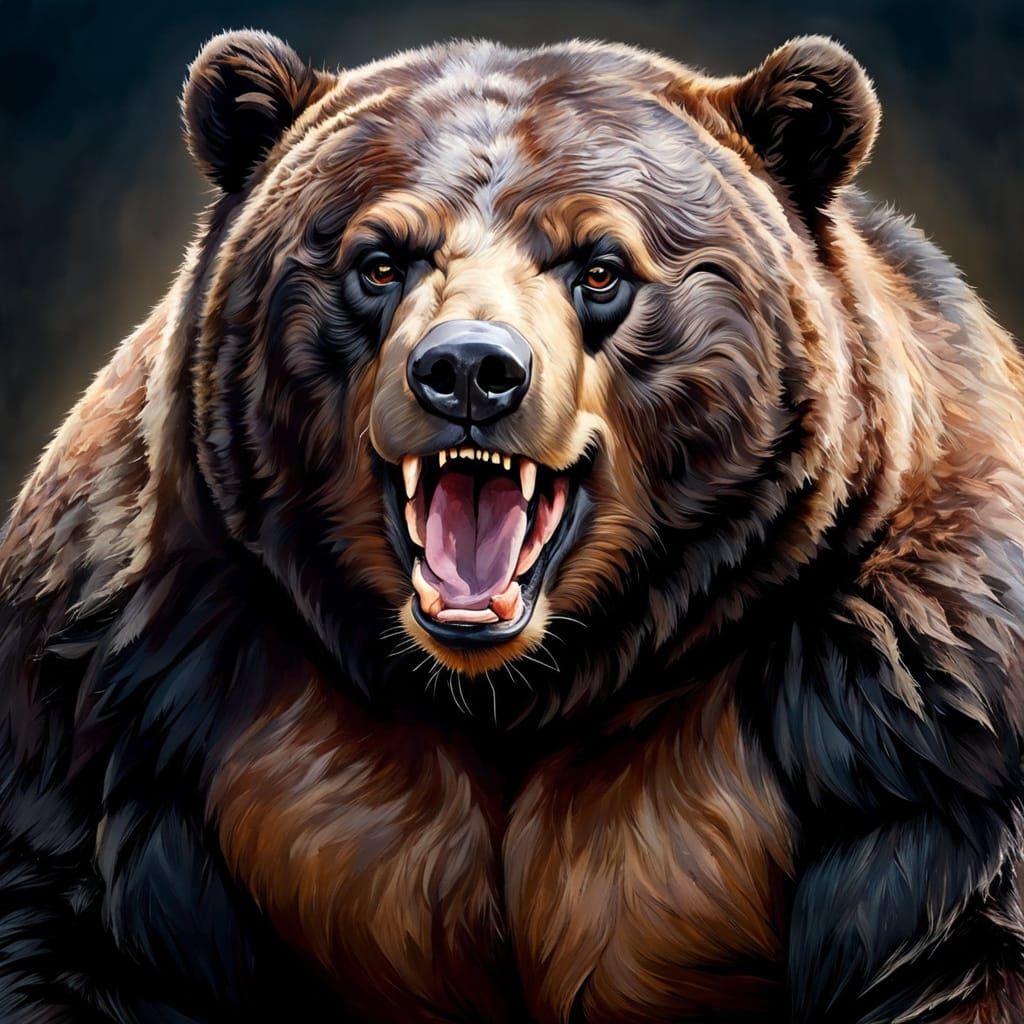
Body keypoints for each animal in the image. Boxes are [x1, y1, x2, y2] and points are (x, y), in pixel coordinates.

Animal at [1, 26, 1023, 1024]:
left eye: (601, 267)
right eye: (379, 260)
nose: (468, 371)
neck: (515, 692)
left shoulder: (902, 707)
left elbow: (951, 933)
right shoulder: (143, 697)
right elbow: (88, 930)